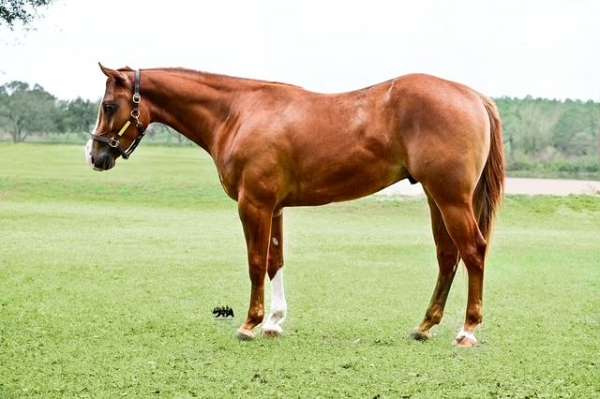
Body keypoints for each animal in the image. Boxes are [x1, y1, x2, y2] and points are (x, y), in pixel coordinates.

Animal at [86, 64, 504, 348]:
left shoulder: (253, 205)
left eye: (109, 105)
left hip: (451, 199)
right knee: (448, 256)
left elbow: (256, 262)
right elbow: (276, 260)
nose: (95, 155)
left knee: (473, 251)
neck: (238, 112)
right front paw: (274, 321)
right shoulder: (274, 208)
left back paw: (467, 330)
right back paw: (425, 326)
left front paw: (250, 324)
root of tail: (474, 96)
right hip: (437, 199)